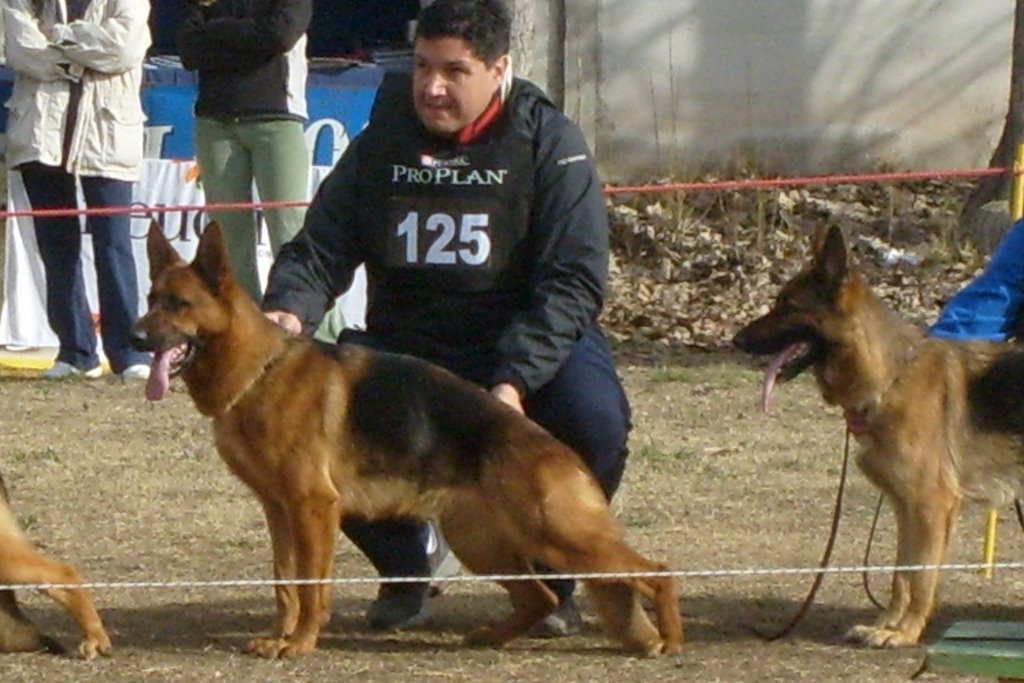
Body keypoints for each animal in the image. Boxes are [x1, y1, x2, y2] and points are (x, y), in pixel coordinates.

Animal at [132, 224, 684, 663]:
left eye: (179, 305)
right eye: (150, 300)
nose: (135, 339)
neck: (259, 372)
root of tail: (559, 450)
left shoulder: (312, 508)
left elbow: (311, 587)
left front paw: (301, 643)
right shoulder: (279, 511)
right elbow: (285, 583)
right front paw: (278, 637)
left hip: (559, 535)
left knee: (656, 571)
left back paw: (671, 639)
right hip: (483, 542)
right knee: (540, 598)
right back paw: (491, 637)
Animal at [733, 225, 1024, 651]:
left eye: (788, 305)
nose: (736, 340)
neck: (888, 378)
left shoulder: (931, 507)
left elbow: (922, 577)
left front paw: (905, 633)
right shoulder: (905, 508)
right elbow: (901, 574)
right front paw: (886, 624)